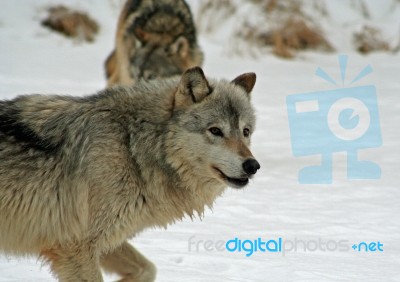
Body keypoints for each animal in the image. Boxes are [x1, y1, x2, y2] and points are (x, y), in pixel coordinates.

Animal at [0, 67, 260, 280]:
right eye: (215, 131)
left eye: (245, 131)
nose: (252, 165)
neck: (131, 147)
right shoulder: (75, 247)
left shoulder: (106, 241)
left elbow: (147, 270)